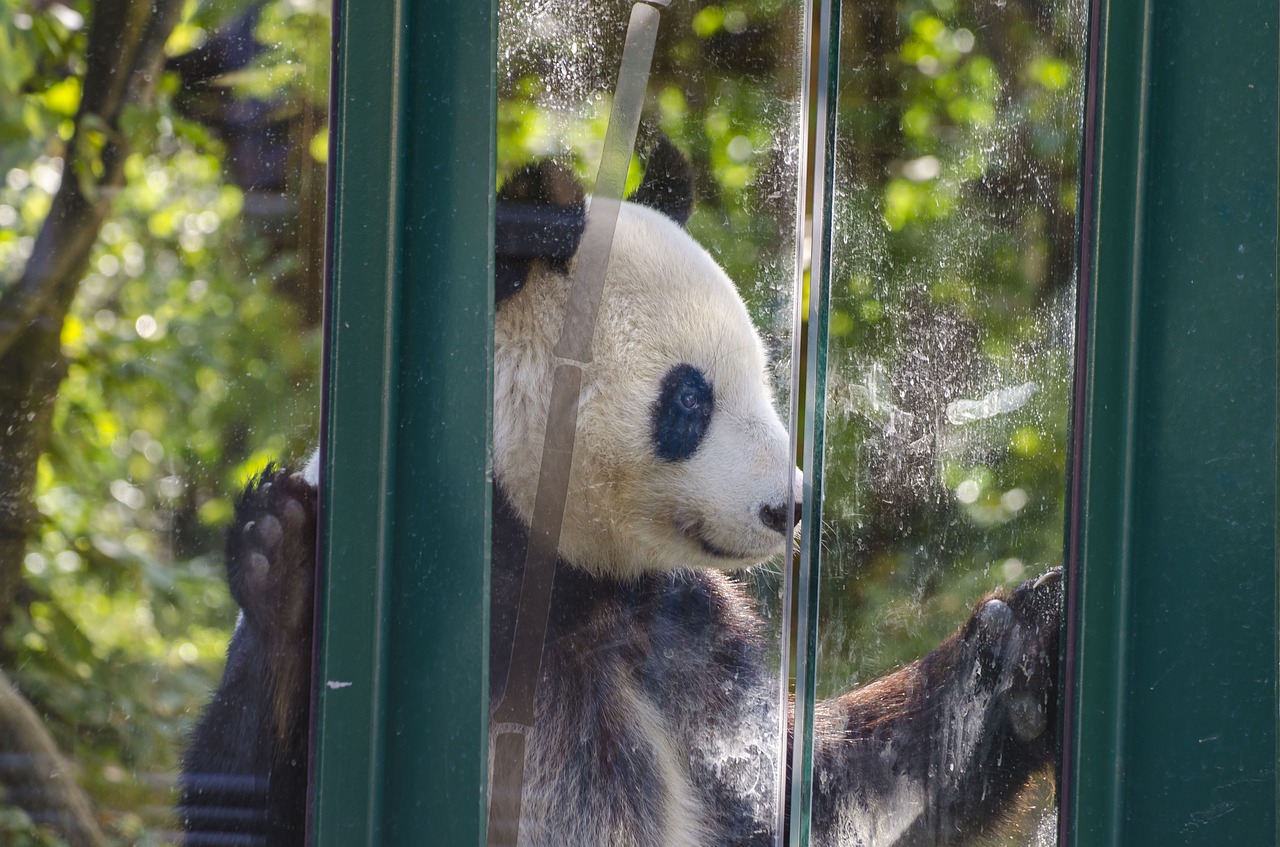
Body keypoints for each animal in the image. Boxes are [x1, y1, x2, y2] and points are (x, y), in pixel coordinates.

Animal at [180, 140, 1059, 847]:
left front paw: (1022, 645)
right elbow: (249, 800)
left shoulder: (684, 630)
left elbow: (829, 788)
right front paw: (284, 564)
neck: (562, 571)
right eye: (690, 401)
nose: (789, 506)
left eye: (765, 377)